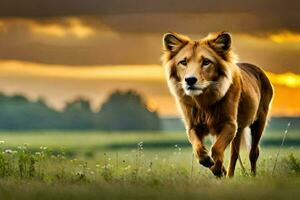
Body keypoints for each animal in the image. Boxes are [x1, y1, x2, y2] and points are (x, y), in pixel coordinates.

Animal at [162, 31, 274, 177]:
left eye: (206, 62)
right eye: (183, 62)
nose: (190, 80)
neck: (203, 101)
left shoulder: (230, 124)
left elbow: (216, 149)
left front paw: (217, 168)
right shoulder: (192, 127)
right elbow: (199, 149)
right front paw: (211, 164)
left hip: (258, 121)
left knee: (252, 153)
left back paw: (249, 176)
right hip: (236, 130)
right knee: (235, 154)